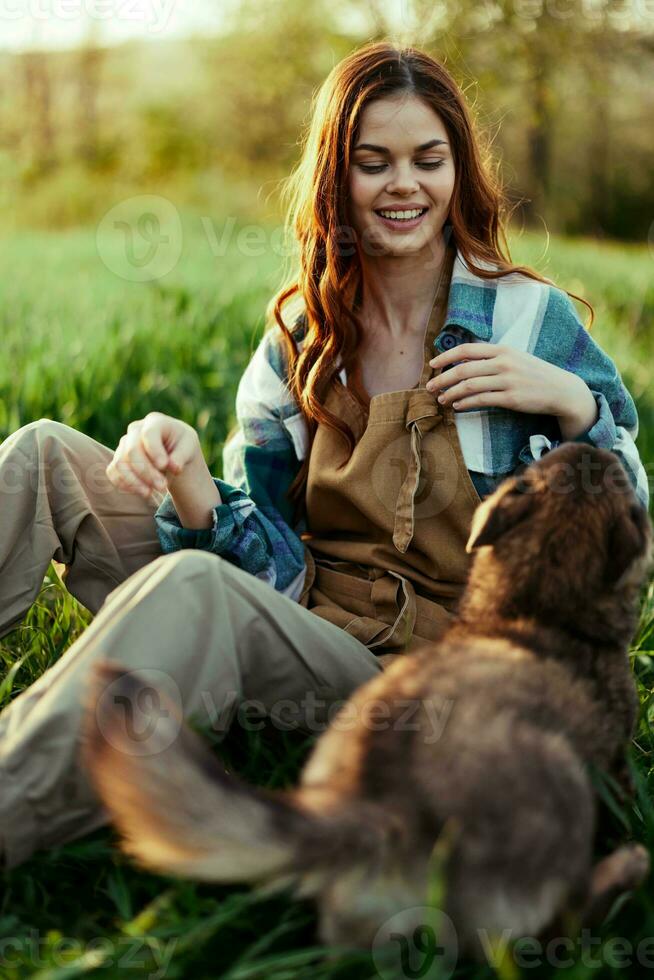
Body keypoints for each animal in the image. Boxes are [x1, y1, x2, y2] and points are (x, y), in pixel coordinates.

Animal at [84, 446, 652, 964]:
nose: (587, 448)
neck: (529, 607)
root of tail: (378, 810)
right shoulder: (614, 758)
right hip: (561, 797)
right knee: (562, 923)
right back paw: (626, 869)